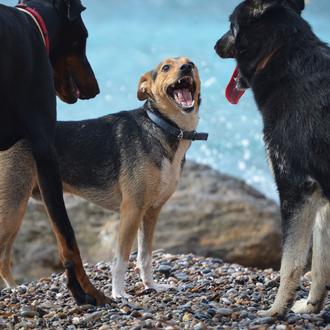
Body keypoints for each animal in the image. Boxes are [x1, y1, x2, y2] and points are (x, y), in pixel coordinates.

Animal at [0, 56, 206, 300]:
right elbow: (121, 260)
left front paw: (150, 285)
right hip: (13, 208)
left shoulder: (151, 212)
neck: (163, 126)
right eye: (166, 67)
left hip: (15, 211)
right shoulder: (131, 210)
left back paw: (15, 289)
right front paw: (119, 294)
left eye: (191, 63)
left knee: (4, 258)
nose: (186, 68)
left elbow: (145, 256)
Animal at [214, 0, 330, 318]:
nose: (214, 46)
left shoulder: (296, 188)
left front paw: (276, 309)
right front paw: (312, 306)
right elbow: (320, 263)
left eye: (231, 27)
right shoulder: (322, 198)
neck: (281, 52)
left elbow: (290, 262)